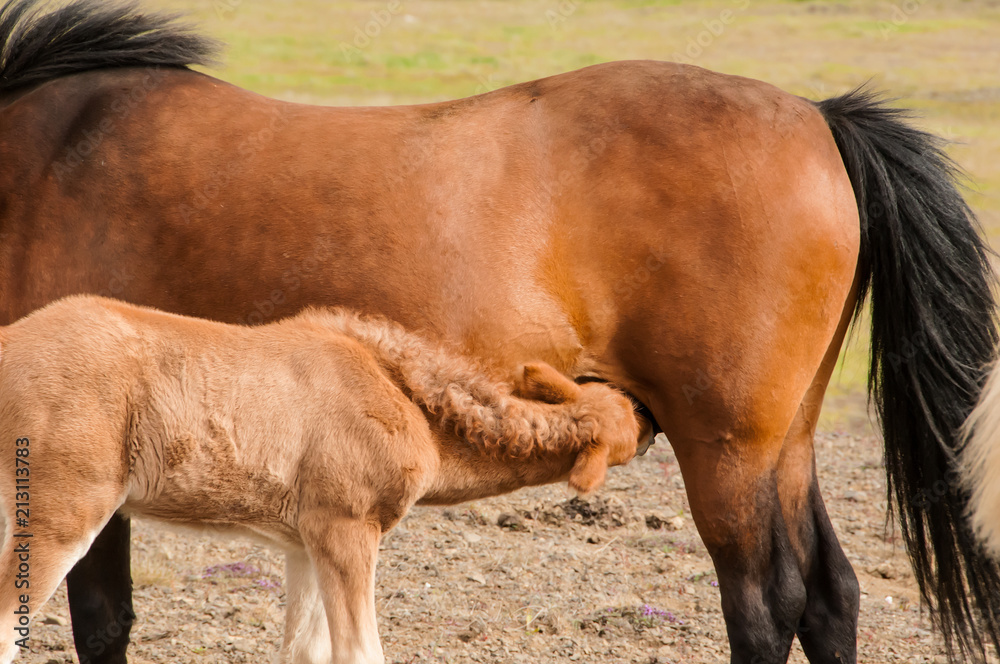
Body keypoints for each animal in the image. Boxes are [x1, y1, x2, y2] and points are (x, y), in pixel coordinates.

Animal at [0, 294, 641, 664]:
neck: (407, 399)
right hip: (63, 512)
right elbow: (360, 652)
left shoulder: (304, 540)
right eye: (628, 433)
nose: (650, 422)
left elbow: (303, 651)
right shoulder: (346, 524)